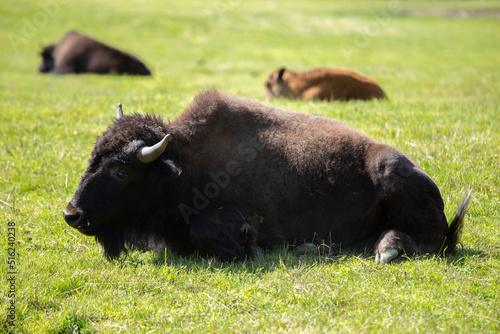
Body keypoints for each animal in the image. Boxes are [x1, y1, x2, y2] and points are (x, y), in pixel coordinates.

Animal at [62, 88, 468, 264]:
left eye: (121, 171)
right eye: (93, 156)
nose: (72, 214)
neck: (182, 163)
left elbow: (207, 231)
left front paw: (251, 248)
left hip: (394, 178)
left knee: (434, 240)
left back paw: (385, 251)